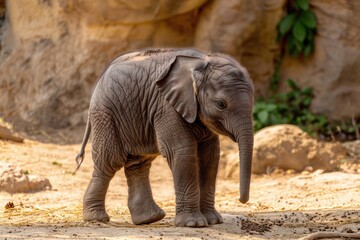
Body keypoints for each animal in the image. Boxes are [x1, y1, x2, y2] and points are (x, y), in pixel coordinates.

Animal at [75, 48, 255, 227]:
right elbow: (182, 150)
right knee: (109, 162)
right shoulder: (166, 106)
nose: (242, 200)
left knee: (138, 163)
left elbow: (210, 156)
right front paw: (193, 224)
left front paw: (213, 221)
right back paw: (97, 218)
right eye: (221, 104)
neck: (203, 61)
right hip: (106, 114)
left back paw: (150, 218)